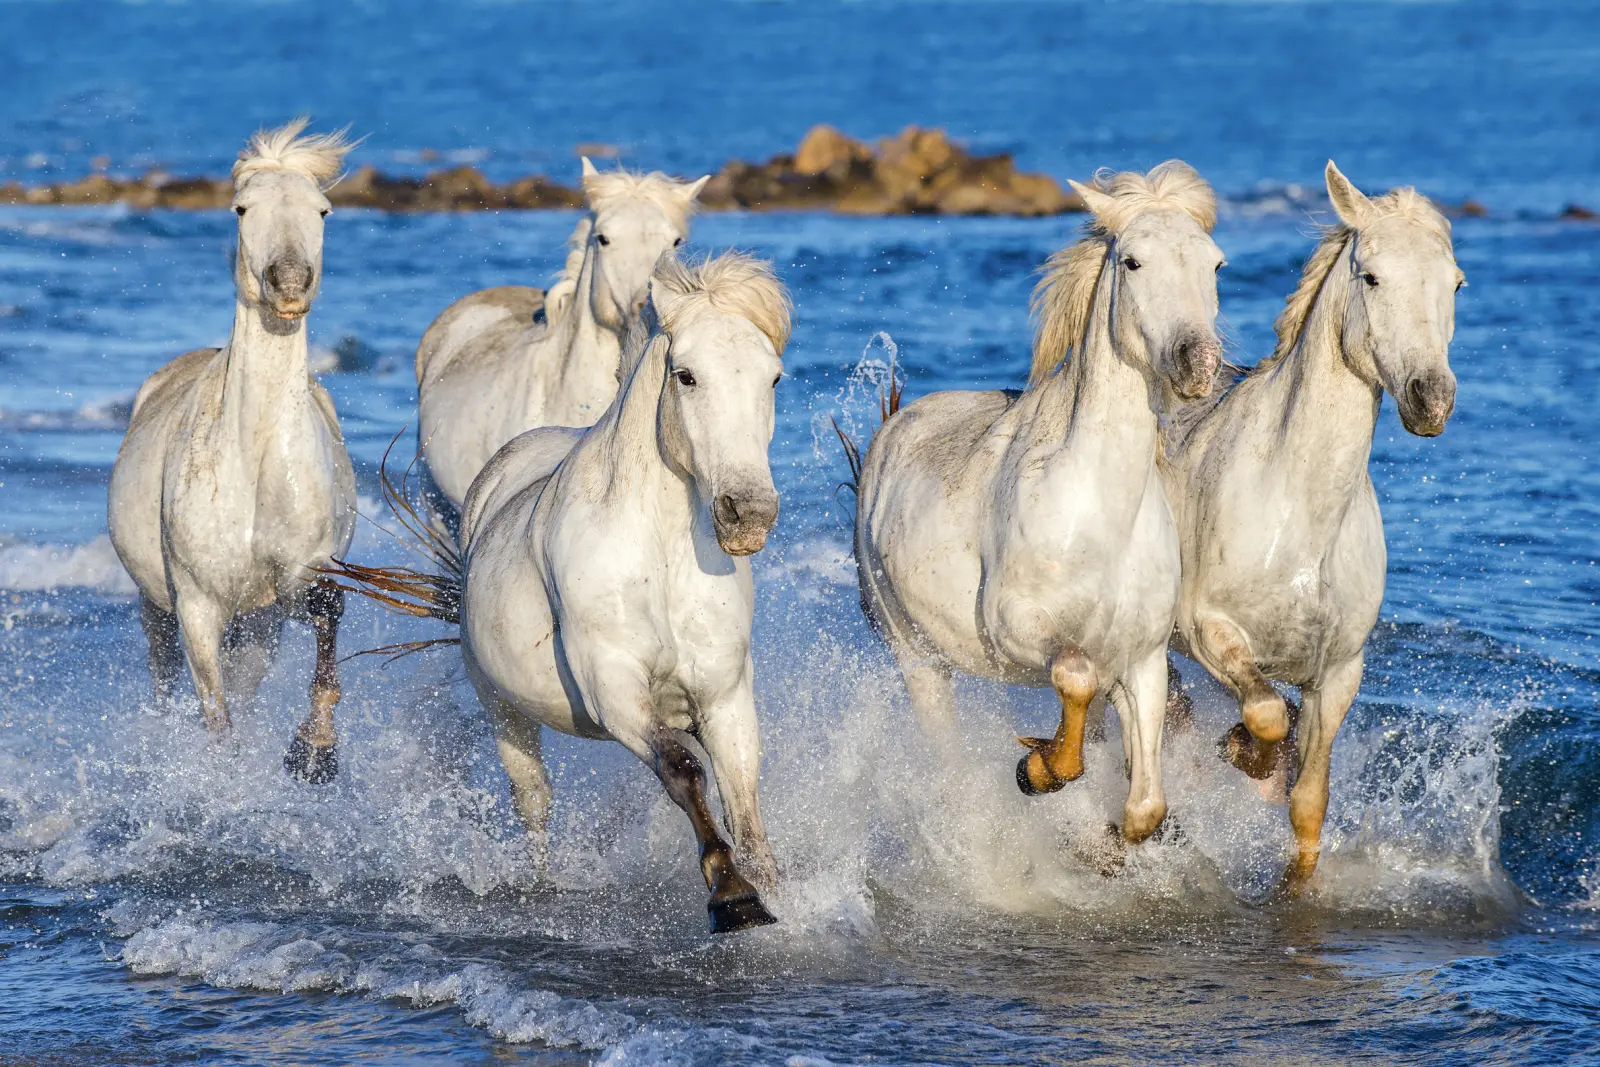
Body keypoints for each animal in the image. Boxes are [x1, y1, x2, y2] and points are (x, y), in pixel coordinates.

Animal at [107, 119, 359, 784]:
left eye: (323, 210)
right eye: (242, 208)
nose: (289, 283)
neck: (256, 458)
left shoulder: (297, 581)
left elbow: (329, 611)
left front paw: (314, 751)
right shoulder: (197, 605)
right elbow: (215, 717)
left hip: (257, 626)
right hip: (157, 609)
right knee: (167, 678)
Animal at [329, 253, 791, 934]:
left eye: (774, 378)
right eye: (686, 376)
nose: (748, 514)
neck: (659, 558)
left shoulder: (724, 694)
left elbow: (744, 799)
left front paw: (773, 893)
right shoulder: (612, 686)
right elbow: (683, 770)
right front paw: (731, 896)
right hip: (502, 709)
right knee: (533, 800)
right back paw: (540, 888)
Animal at [852, 161, 1225, 845]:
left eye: (1215, 263)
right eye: (1132, 261)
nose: (1200, 363)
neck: (1098, 517)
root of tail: (893, 427)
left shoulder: (1143, 660)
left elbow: (1144, 808)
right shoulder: (1016, 628)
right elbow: (1073, 677)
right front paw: (1040, 770)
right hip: (917, 660)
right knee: (947, 756)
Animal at [1162, 161, 1462, 890]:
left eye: (1456, 282)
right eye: (1371, 276)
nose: (1431, 399)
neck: (1299, 519)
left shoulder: (1338, 672)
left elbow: (1308, 803)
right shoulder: (1209, 632)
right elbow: (1266, 714)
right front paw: (1245, 754)